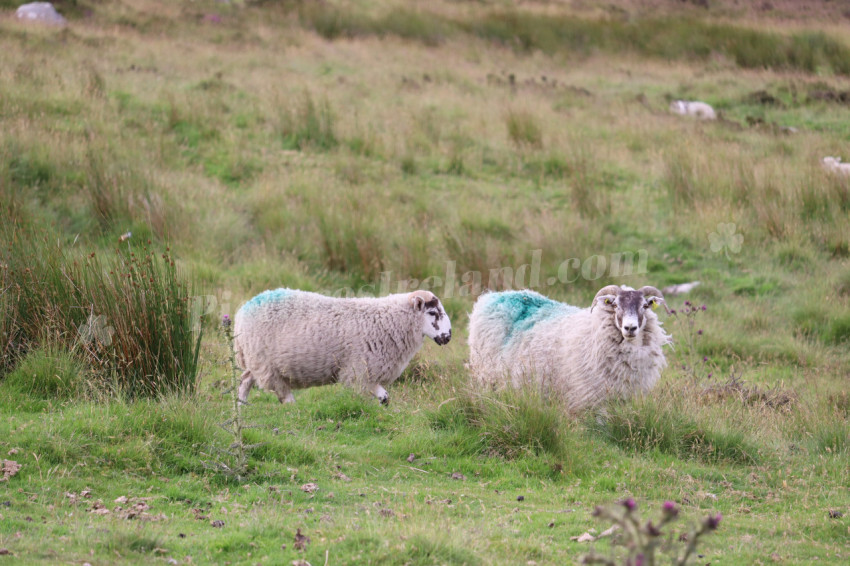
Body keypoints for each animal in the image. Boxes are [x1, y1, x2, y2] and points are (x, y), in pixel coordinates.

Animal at [234, 288, 452, 406]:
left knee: (245, 380)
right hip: (265, 362)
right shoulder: (359, 371)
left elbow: (384, 397)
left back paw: (242, 405)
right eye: (432, 312)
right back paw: (292, 407)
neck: (390, 320)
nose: (448, 337)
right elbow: (380, 396)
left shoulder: (366, 373)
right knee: (279, 390)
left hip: (256, 360)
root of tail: (242, 310)